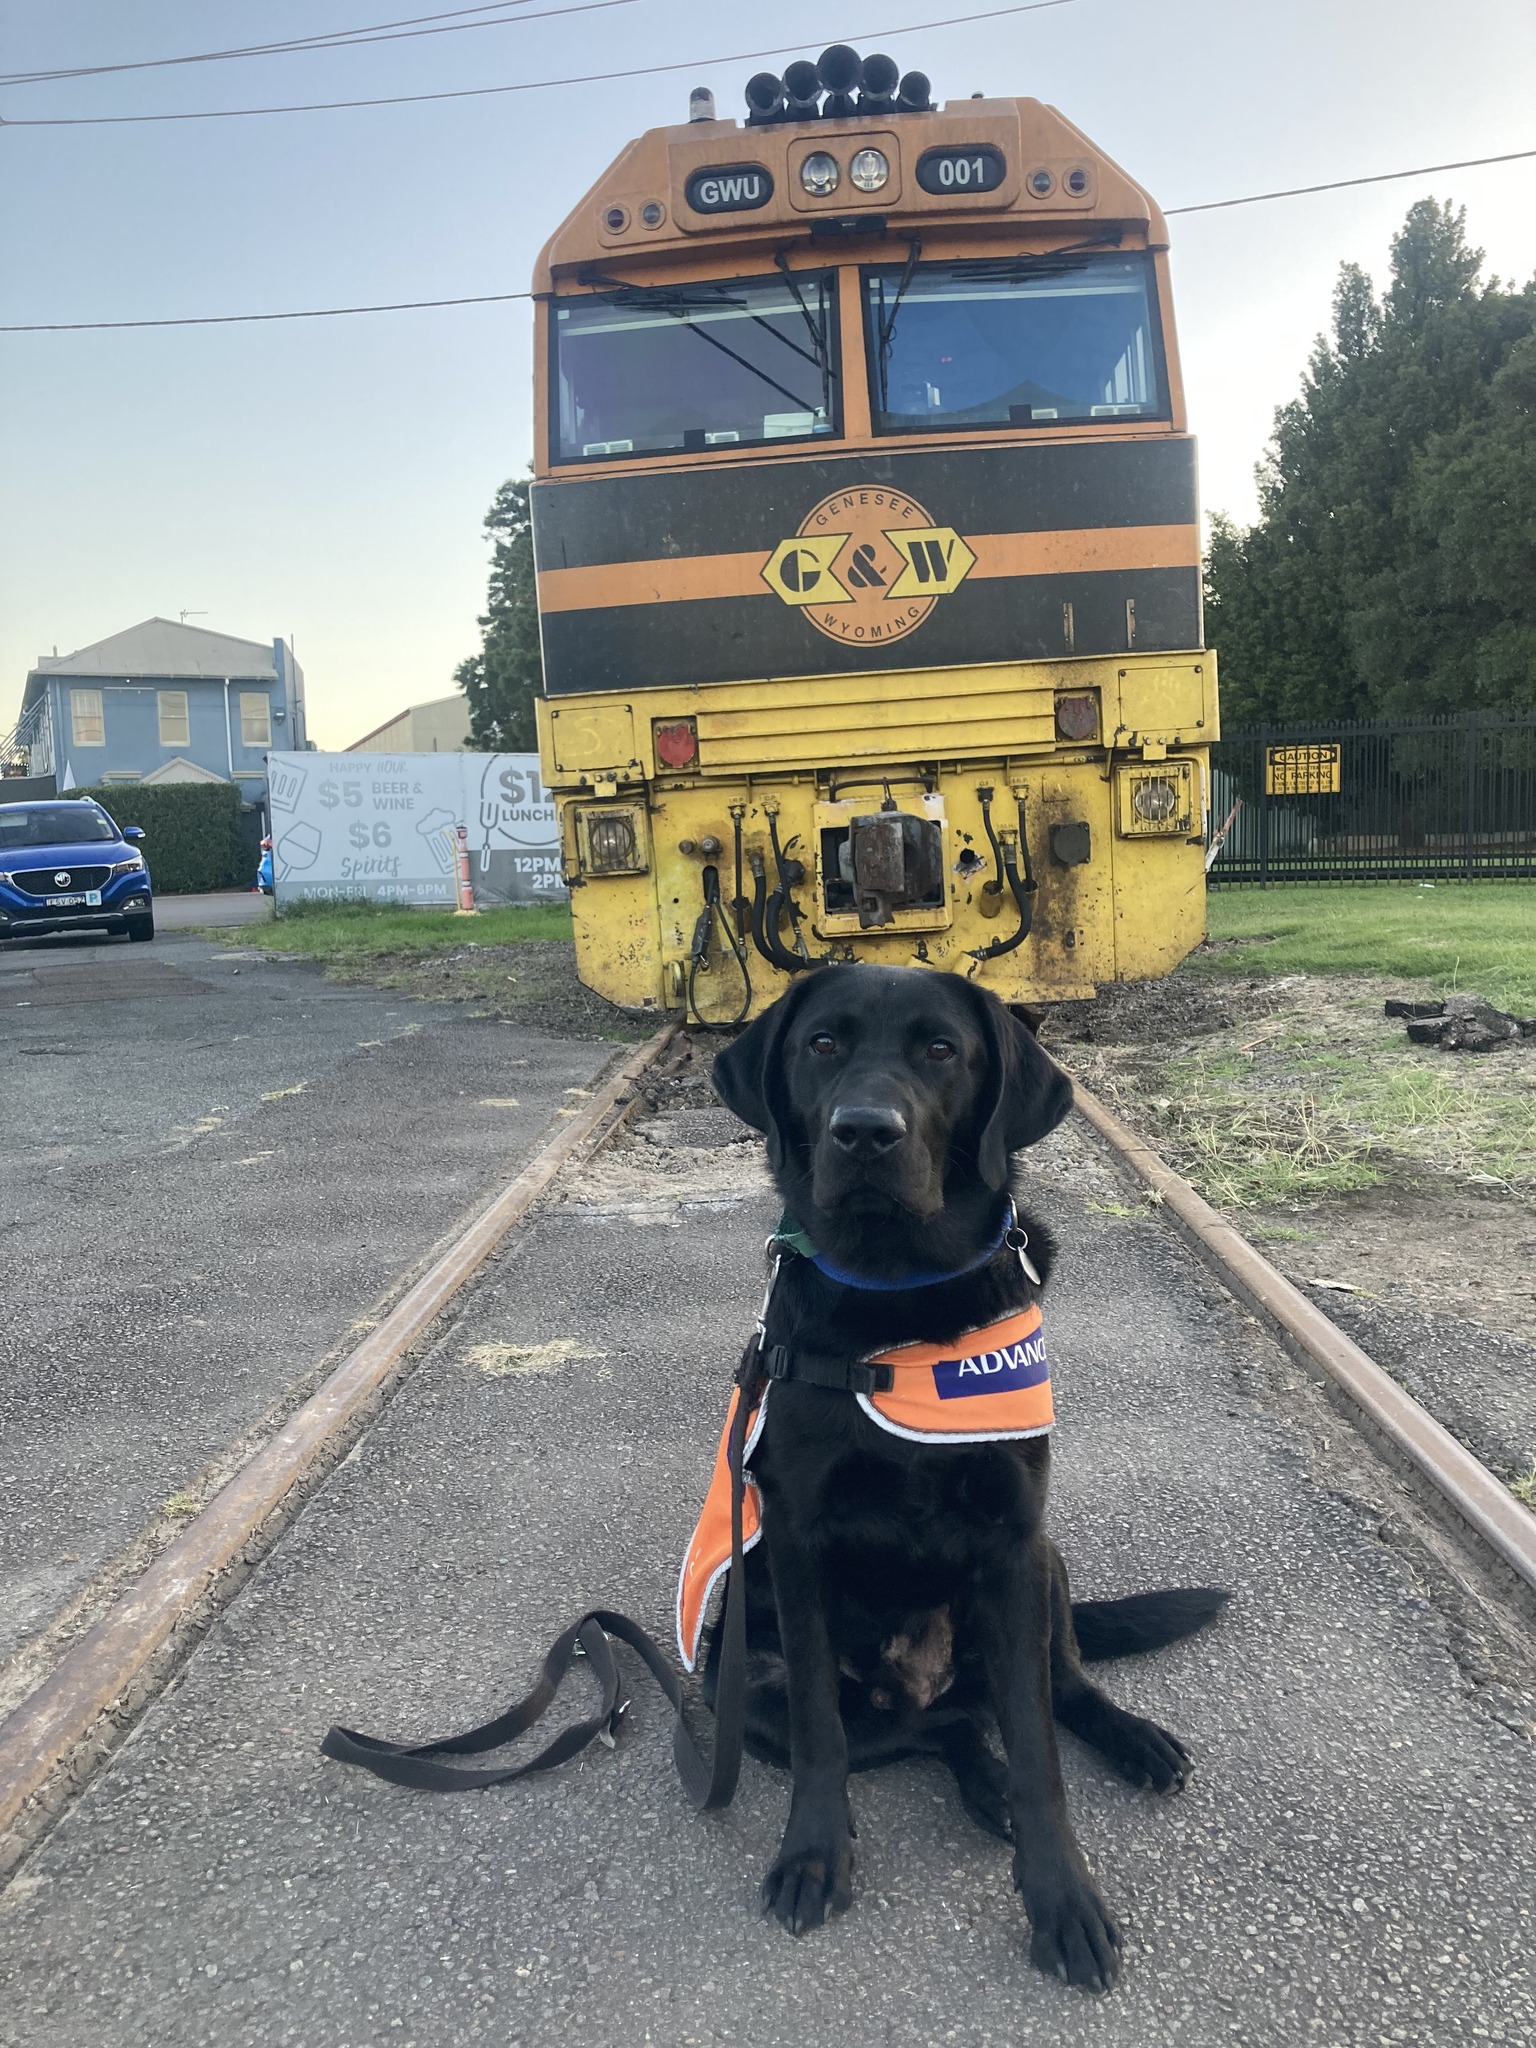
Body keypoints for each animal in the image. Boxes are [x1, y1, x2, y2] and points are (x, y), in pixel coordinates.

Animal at [708, 966, 1228, 1990]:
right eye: (822, 1044)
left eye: (942, 1051)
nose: (864, 1131)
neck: (896, 1297)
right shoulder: (794, 1542)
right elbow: (826, 1734)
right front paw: (813, 1856)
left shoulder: (1014, 1542)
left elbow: (1039, 1748)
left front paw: (1064, 1900)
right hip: (744, 1683)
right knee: (934, 1728)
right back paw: (978, 1785)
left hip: (1048, 1566)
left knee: (1056, 1690)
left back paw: (1131, 1741)